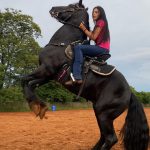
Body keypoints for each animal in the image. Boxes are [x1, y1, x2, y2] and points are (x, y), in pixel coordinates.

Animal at [21, 0, 149, 149]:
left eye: (71, 6)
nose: (53, 8)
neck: (61, 45)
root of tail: (129, 92)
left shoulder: (46, 70)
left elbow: (23, 80)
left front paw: (37, 107)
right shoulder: (47, 76)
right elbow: (29, 83)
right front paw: (38, 106)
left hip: (103, 113)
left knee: (110, 138)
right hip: (99, 112)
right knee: (103, 136)